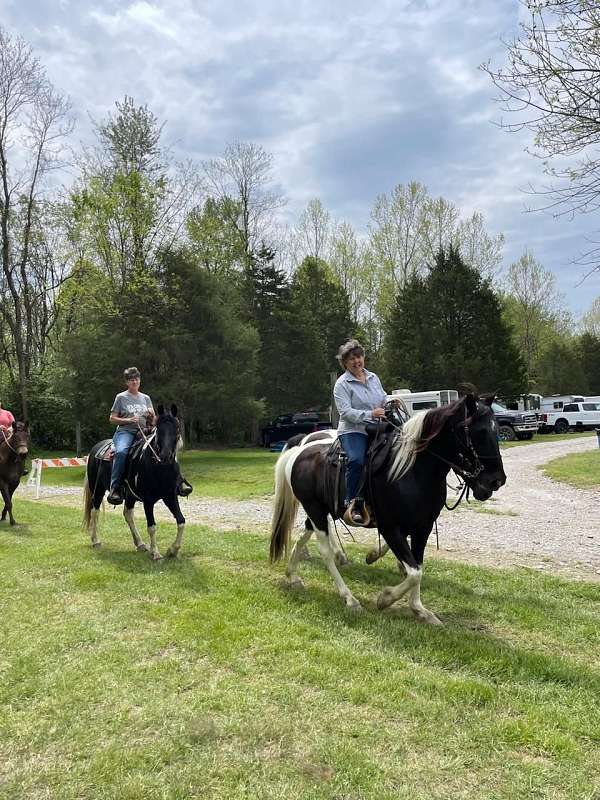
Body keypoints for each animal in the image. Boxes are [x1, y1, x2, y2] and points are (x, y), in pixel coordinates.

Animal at [82, 404, 185, 560]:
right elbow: (152, 527)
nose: (166, 456)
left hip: (129, 495)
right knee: (95, 511)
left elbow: (181, 521)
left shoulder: (170, 496)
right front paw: (156, 553)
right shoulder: (148, 500)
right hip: (97, 488)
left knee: (128, 514)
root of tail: (95, 449)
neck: (160, 468)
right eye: (159, 430)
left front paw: (172, 550)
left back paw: (140, 544)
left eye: (177, 429)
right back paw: (95, 541)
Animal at [272, 394, 506, 624]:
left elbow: (418, 565)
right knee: (325, 552)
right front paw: (385, 598)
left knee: (303, 534)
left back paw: (292, 575)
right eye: (479, 432)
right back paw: (349, 598)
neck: (412, 472)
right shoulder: (389, 528)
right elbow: (414, 572)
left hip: (319, 510)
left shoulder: (422, 527)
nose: (496, 481)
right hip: (315, 508)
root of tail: (299, 451)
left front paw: (420, 610)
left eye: (496, 430)